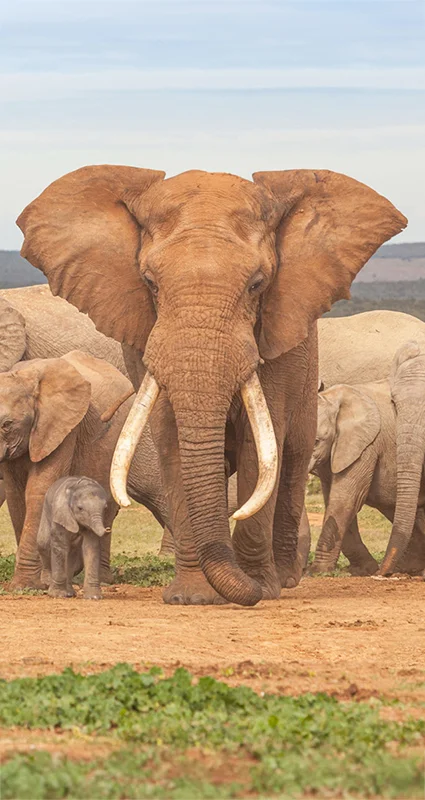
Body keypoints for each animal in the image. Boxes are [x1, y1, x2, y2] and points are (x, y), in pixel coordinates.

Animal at [0, 350, 169, 588]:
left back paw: (98, 579)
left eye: (7, 424)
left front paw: (27, 585)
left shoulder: (63, 426)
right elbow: (15, 496)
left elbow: (39, 490)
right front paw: (36, 583)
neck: (25, 377)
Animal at [17, 165, 406, 605]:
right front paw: (191, 596)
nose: (253, 588)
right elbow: (171, 440)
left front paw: (260, 588)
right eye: (150, 283)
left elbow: (260, 449)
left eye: (257, 284)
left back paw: (285, 578)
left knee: (291, 460)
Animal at [309, 341, 425, 577]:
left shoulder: (366, 445)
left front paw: (317, 572)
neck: (333, 398)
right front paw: (363, 569)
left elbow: (346, 498)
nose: (380, 574)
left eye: (316, 441)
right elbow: (335, 497)